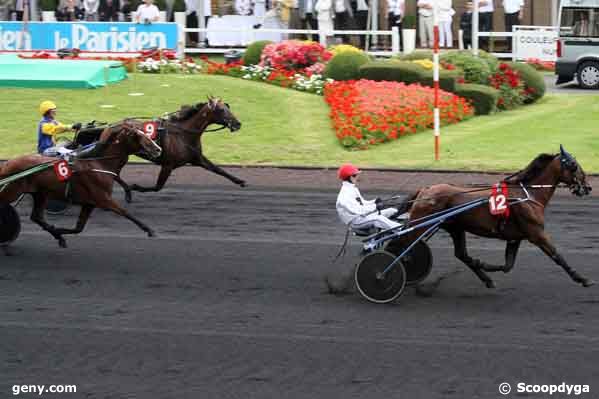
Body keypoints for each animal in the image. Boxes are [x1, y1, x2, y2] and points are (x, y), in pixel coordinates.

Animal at [0, 126, 163, 250]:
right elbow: (125, 212)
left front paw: (59, 232)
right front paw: (149, 230)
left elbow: (78, 228)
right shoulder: (103, 199)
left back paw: (58, 237)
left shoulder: (89, 203)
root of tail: (7, 163)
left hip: (40, 194)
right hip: (13, 190)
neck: (99, 164)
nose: (158, 149)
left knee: (36, 217)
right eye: (138, 136)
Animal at [408, 145, 596, 290]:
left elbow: (507, 266)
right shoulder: (536, 234)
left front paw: (483, 264)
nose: (587, 187)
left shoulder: (515, 238)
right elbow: (557, 256)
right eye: (574, 165)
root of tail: (425, 190)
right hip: (420, 224)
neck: (528, 194)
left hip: (456, 228)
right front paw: (583, 279)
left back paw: (487, 279)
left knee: (462, 254)